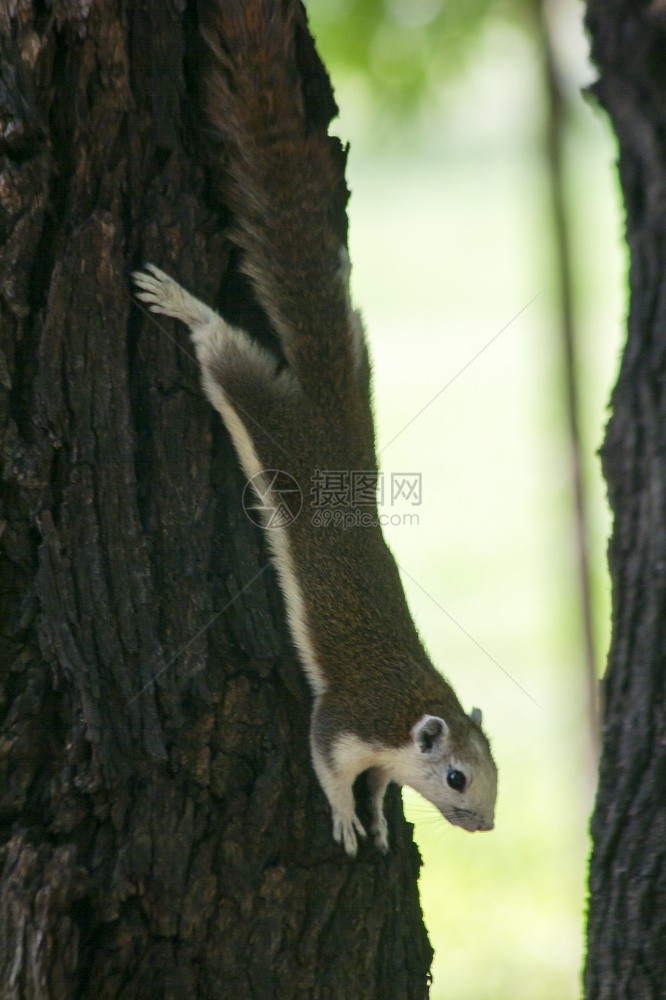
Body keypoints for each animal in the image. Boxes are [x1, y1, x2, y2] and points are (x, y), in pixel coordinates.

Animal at [132, 0, 496, 856]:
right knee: (226, 354)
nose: (486, 825)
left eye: (495, 773)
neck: (413, 708)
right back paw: (183, 304)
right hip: (269, 419)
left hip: (360, 378)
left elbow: (376, 785)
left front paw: (379, 816)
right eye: (456, 778)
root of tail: (332, 417)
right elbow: (328, 762)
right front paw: (345, 818)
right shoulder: (347, 720)